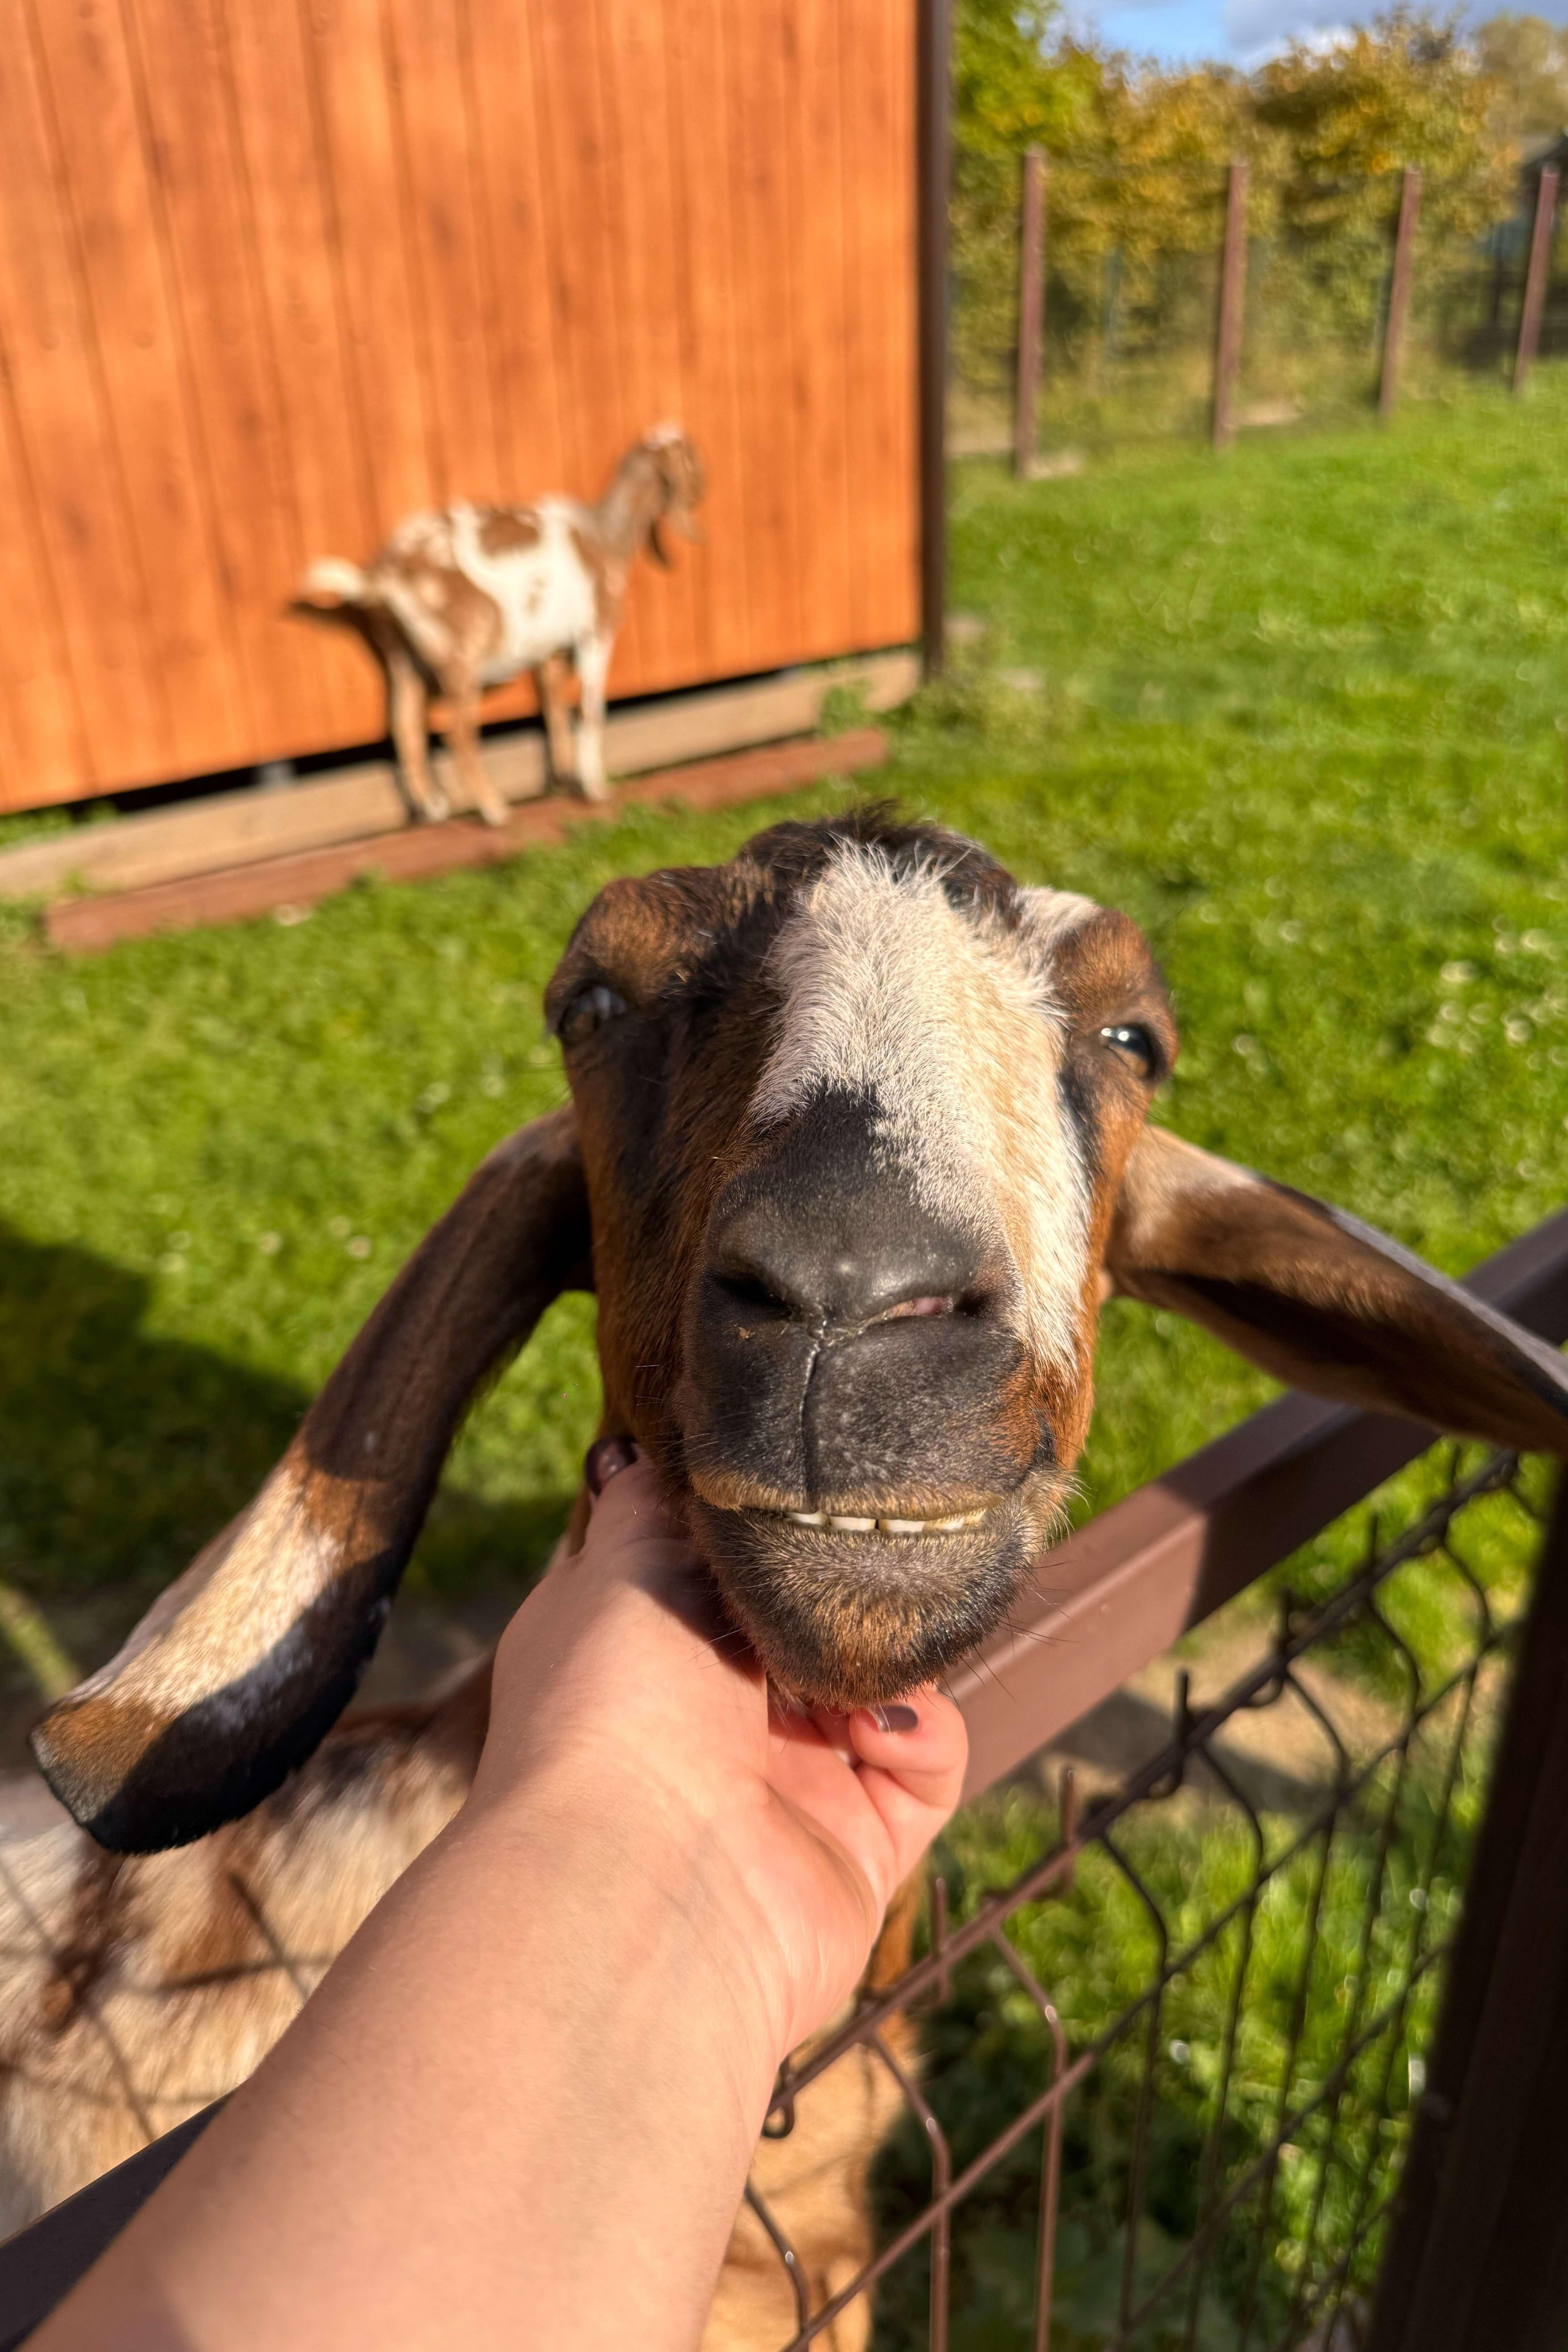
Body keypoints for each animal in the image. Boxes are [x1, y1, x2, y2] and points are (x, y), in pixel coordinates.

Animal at [300, 425, 704, 826]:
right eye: (692, 455)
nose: (704, 486)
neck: (606, 533)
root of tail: (384, 576)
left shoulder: (549, 652)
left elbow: (554, 710)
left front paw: (562, 780)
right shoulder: (596, 632)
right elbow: (591, 710)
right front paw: (595, 787)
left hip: (401, 658)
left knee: (406, 731)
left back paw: (434, 808)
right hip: (460, 657)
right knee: (458, 734)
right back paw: (494, 809)